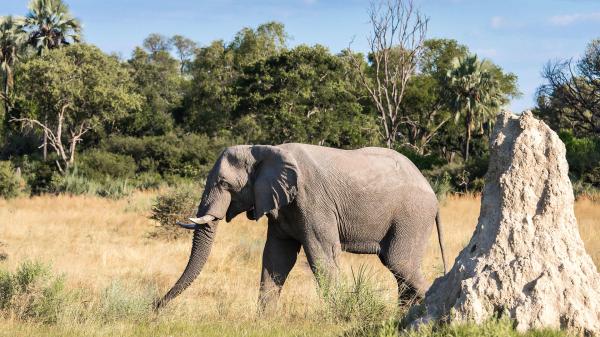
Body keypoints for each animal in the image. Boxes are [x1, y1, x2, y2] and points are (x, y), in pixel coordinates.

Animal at [155, 143, 446, 312]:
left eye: (225, 185)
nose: (156, 307)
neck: (265, 150)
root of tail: (432, 192)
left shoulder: (313, 200)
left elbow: (321, 255)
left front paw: (336, 316)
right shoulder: (280, 204)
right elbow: (276, 257)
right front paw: (265, 321)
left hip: (412, 215)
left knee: (400, 263)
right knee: (398, 268)